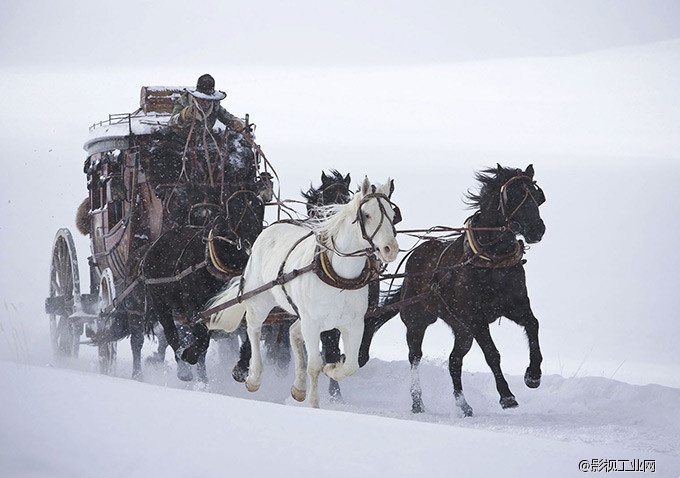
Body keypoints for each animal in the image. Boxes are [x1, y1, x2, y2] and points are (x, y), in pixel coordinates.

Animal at [207, 177, 398, 408]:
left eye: (393, 215)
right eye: (367, 215)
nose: (390, 249)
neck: (339, 276)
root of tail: (269, 230)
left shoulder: (353, 324)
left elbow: (351, 365)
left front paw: (332, 369)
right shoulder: (312, 323)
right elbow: (314, 366)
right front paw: (314, 404)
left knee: (292, 332)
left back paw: (298, 387)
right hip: (260, 300)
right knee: (253, 329)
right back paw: (254, 377)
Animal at [358, 164, 544, 414]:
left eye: (537, 196)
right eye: (513, 195)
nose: (537, 229)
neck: (491, 261)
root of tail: (414, 259)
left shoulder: (515, 306)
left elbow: (533, 325)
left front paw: (533, 375)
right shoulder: (476, 319)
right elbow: (492, 354)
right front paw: (506, 395)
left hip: (462, 330)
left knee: (454, 361)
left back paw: (463, 404)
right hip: (418, 320)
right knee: (415, 356)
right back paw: (417, 401)